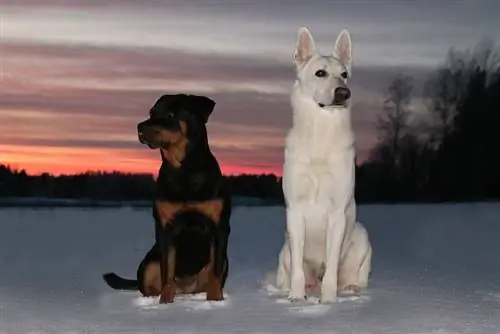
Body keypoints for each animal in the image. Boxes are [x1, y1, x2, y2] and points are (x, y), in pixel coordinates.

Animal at [104, 93, 233, 302]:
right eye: (151, 113)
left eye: (171, 114)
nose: (140, 127)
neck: (183, 170)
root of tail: (186, 289)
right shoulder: (165, 227)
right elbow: (167, 271)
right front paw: (165, 302)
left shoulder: (219, 226)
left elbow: (215, 271)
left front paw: (215, 299)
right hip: (149, 263)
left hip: (224, 261)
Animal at [278, 26, 372, 302]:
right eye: (320, 73)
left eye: (344, 75)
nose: (344, 92)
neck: (320, 134)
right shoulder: (295, 210)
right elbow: (298, 271)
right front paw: (296, 299)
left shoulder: (337, 213)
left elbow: (331, 267)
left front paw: (328, 301)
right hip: (284, 250)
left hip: (362, 236)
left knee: (355, 277)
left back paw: (350, 289)